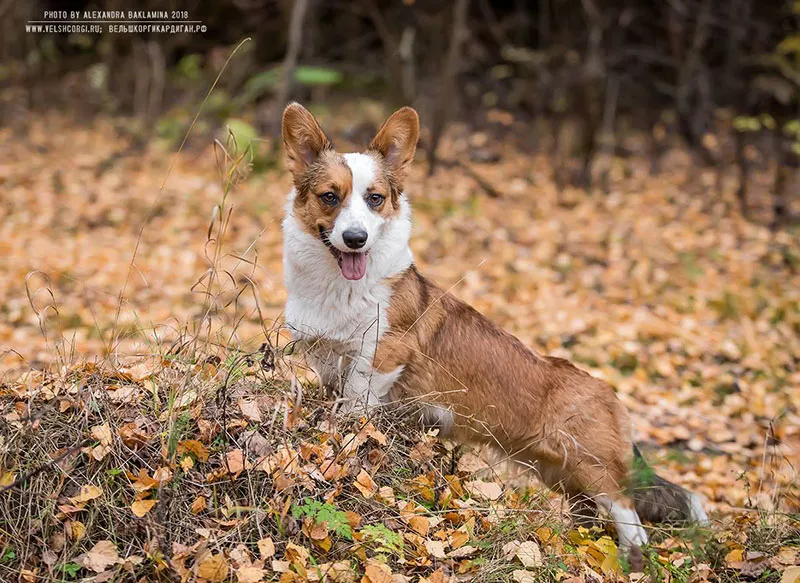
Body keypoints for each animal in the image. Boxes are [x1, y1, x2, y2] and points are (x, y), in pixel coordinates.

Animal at [280, 102, 708, 556]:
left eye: (374, 199)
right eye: (330, 196)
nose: (356, 239)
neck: (338, 288)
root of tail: (610, 394)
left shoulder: (382, 355)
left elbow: (355, 402)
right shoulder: (323, 355)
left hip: (592, 468)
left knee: (630, 518)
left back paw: (630, 558)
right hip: (561, 476)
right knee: (590, 516)